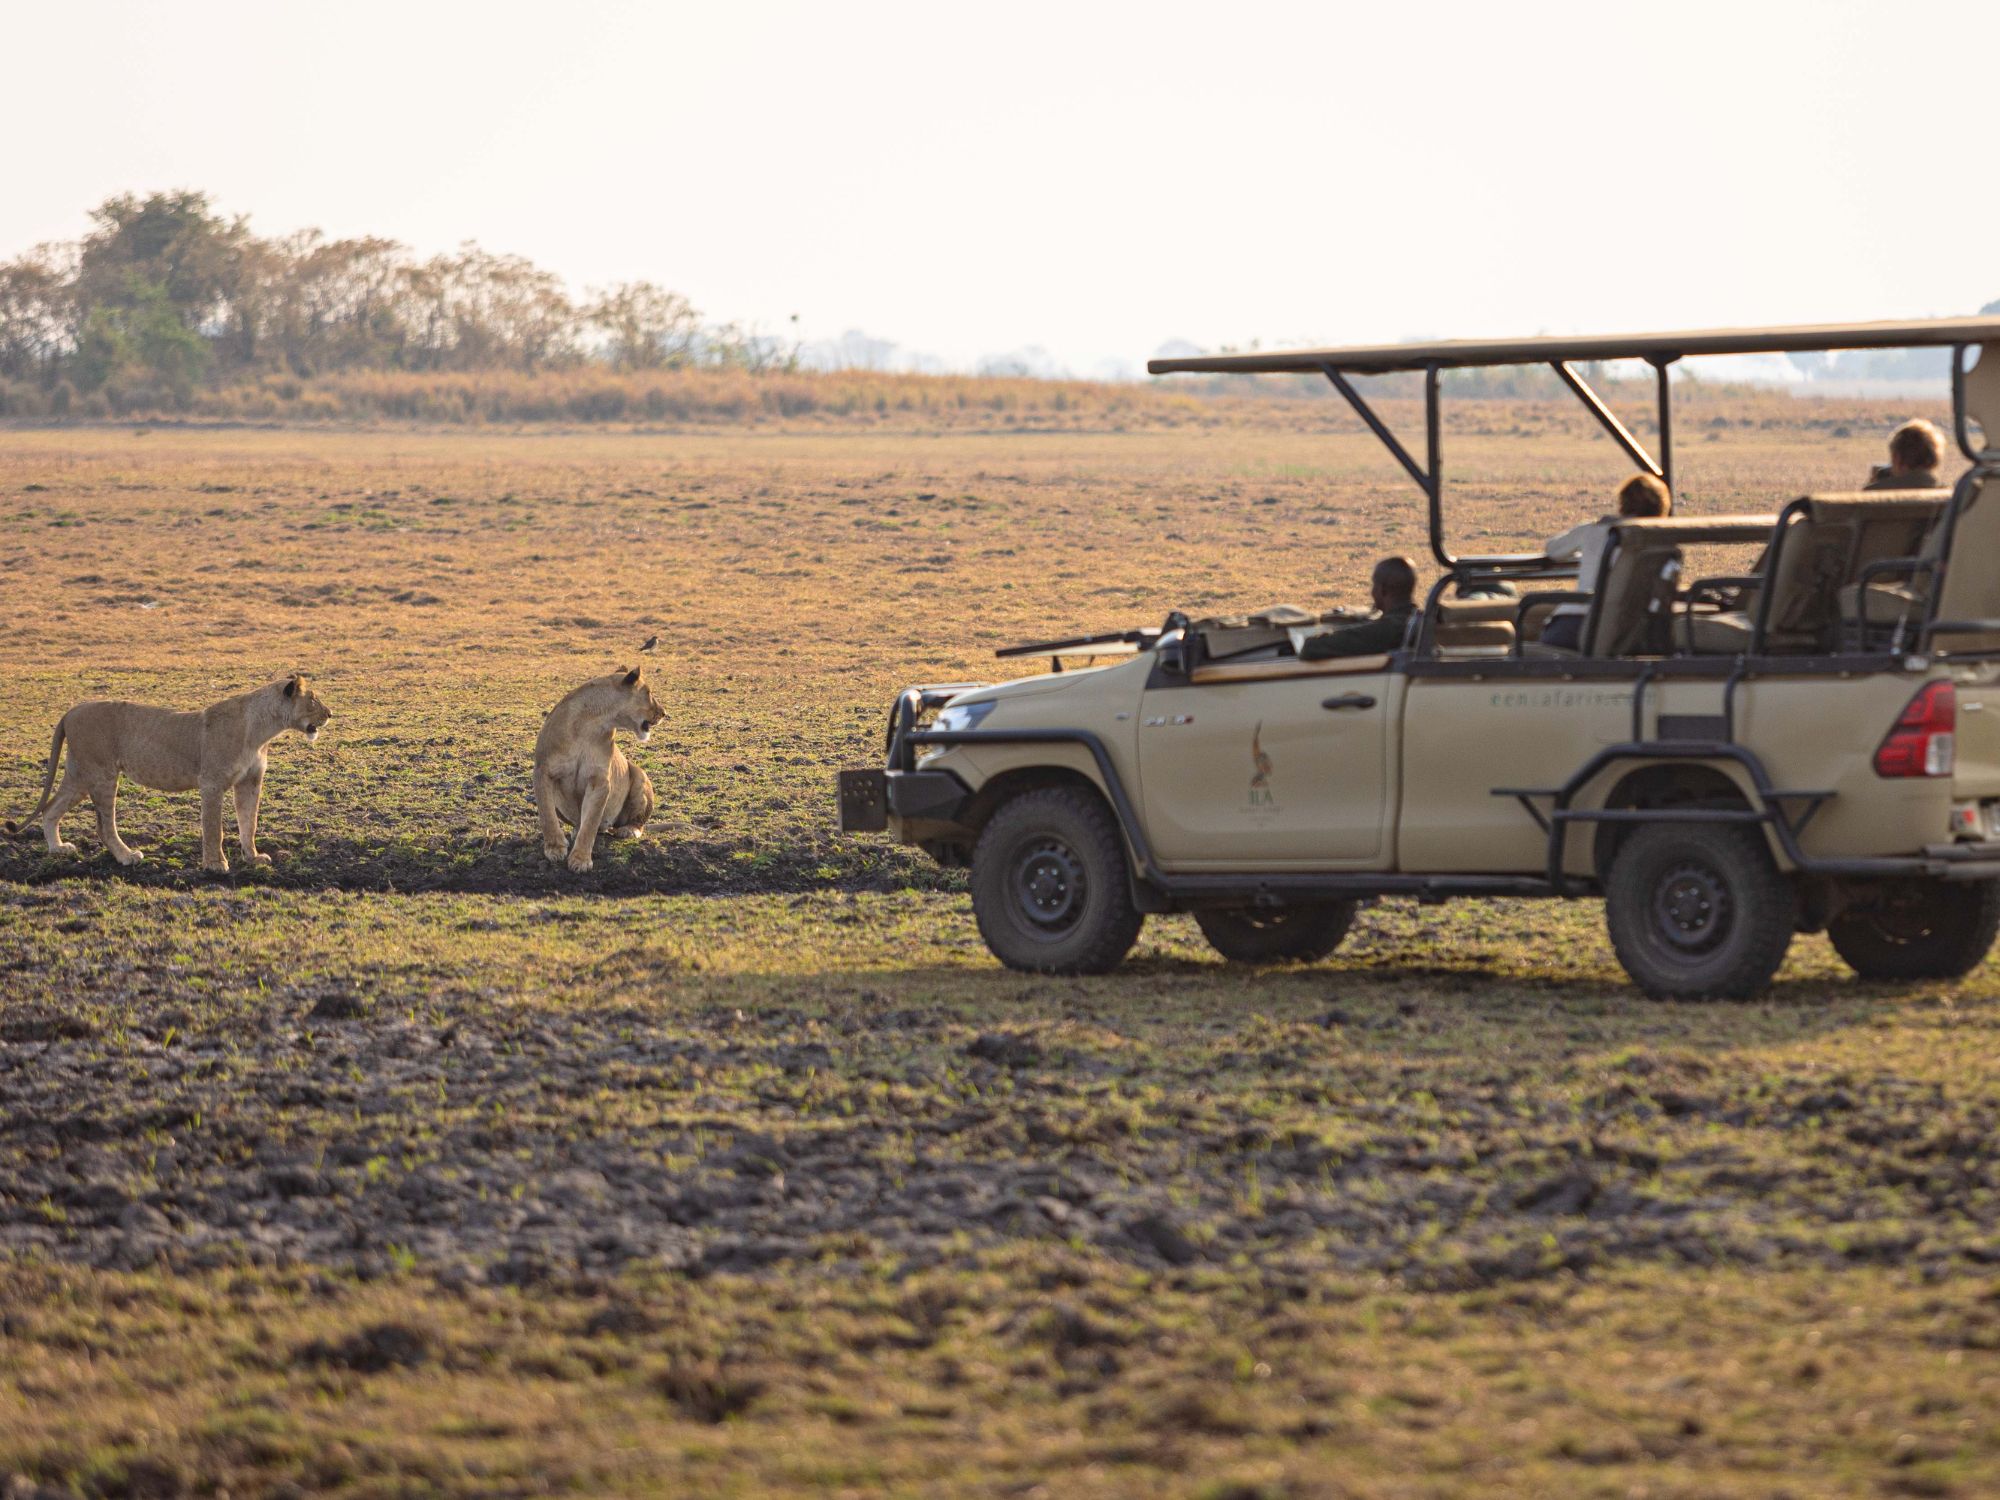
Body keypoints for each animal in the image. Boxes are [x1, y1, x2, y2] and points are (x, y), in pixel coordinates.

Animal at [5, 674, 333, 873]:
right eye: (313, 699)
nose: (330, 714)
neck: (262, 730)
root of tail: (71, 711)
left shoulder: (250, 782)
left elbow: (248, 823)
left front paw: (253, 857)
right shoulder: (211, 782)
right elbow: (214, 827)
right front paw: (215, 864)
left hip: (79, 774)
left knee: (50, 809)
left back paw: (58, 849)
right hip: (102, 773)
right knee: (103, 825)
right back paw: (127, 856)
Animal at [534, 666, 664, 873]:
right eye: (649, 693)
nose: (664, 713)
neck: (591, 723)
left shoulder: (600, 781)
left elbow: (590, 823)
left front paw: (580, 860)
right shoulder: (543, 771)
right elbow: (547, 815)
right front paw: (555, 848)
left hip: (640, 774)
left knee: (636, 822)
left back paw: (629, 830)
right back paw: (575, 832)